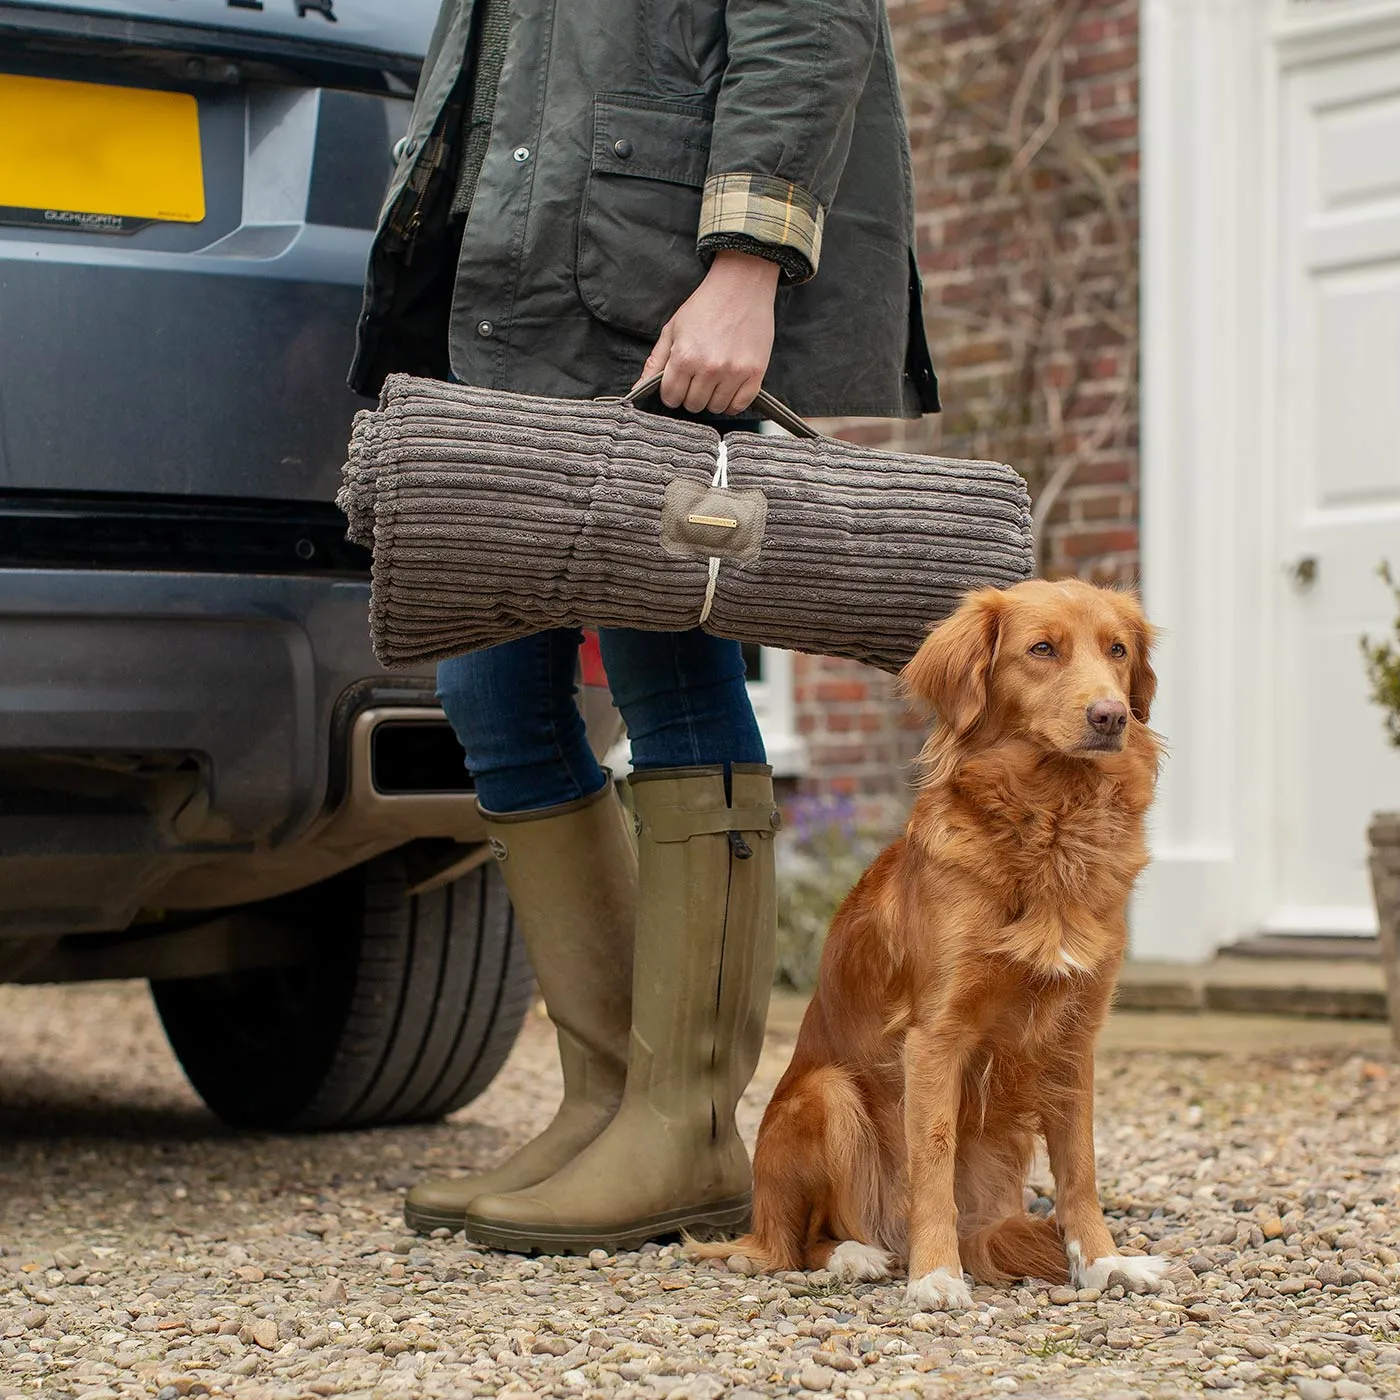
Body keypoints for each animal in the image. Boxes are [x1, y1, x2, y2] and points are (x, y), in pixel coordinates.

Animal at [700, 574, 1170, 1304]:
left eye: (1117, 650)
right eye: (1042, 649)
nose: (1111, 716)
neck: (1051, 826)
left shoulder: (1075, 1038)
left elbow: (1080, 1167)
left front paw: (1103, 1261)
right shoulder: (935, 1036)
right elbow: (935, 1159)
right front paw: (937, 1275)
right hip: (829, 1097)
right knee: (796, 1244)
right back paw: (860, 1255)